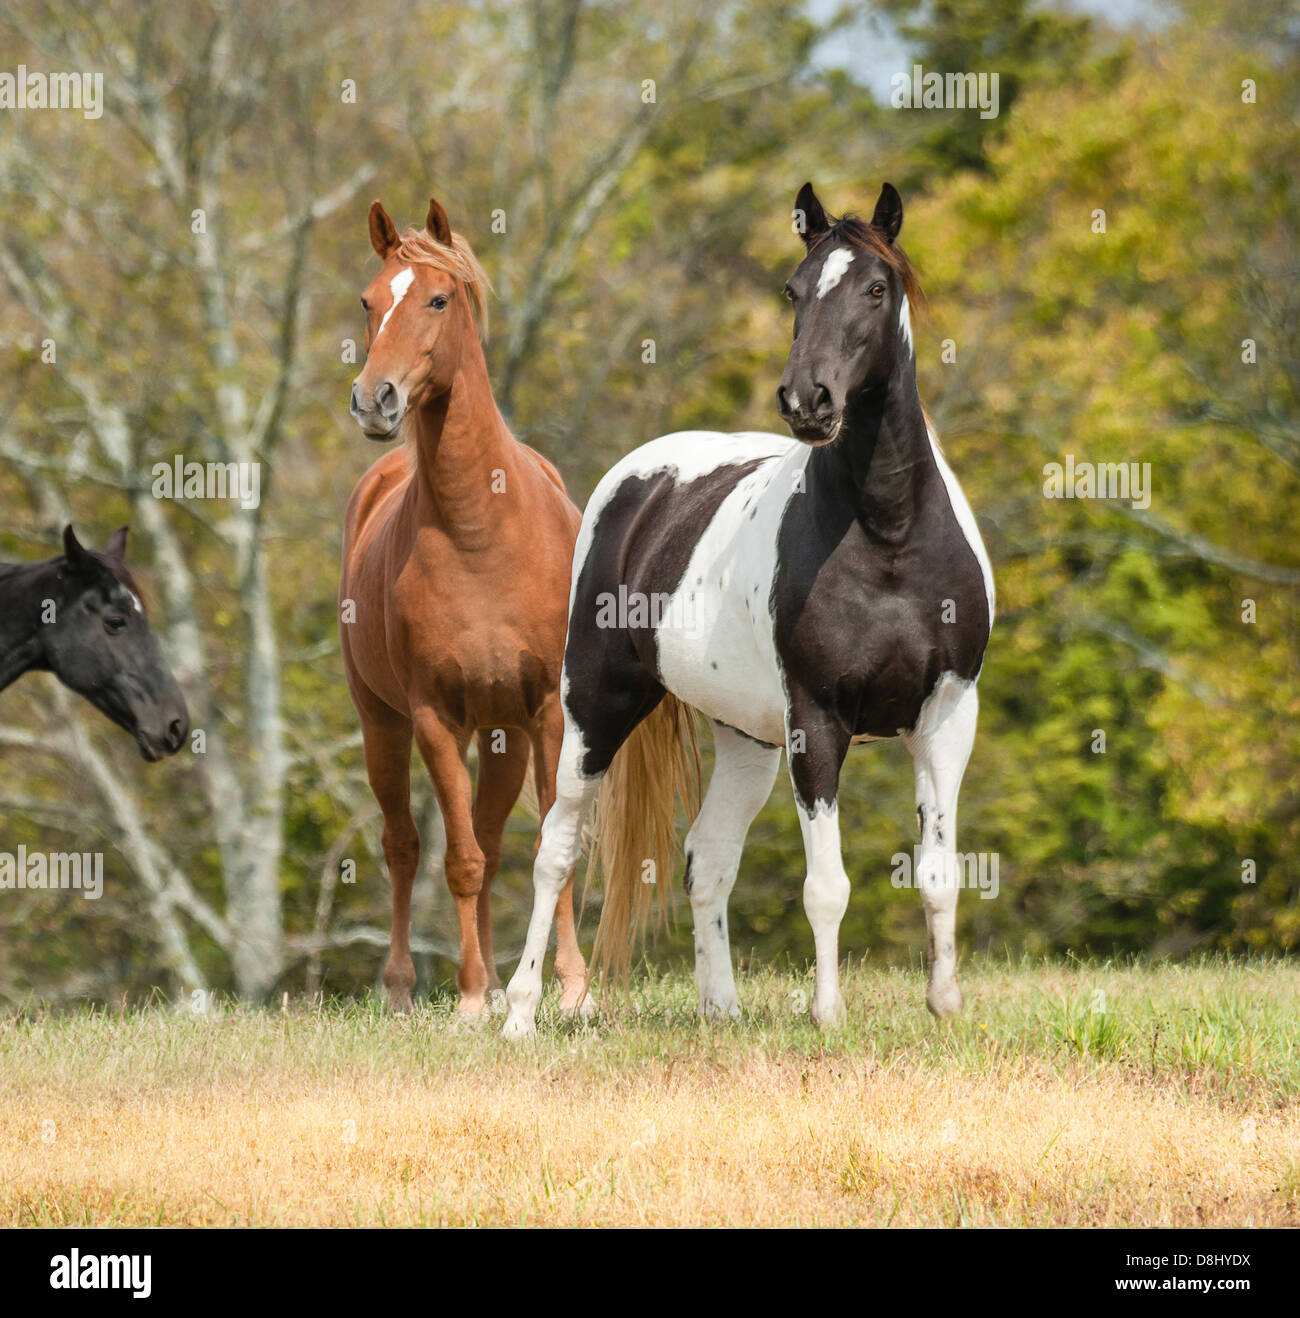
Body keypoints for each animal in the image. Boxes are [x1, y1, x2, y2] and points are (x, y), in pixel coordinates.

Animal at [342, 197, 590, 1017]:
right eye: (369, 301)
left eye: (438, 299)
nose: (374, 400)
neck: (480, 531)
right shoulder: (432, 719)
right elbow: (460, 860)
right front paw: (475, 998)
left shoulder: (546, 713)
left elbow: (552, 847)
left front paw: (570, 989)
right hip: (383, 725)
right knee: (408, 845)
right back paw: (408, 989)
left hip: (504, 733)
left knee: (494, 833)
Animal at [501, 180, 986, 1033]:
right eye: (794, 289)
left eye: (876, 288)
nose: (807, 399)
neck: (890, 536)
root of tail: (637, 482)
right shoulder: (817, 721)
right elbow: (826, 886)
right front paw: (829, 1014)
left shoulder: (947, 715)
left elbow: (937, 872)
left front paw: (945, 1006)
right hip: (594, 704)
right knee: (557, 848)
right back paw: (520, 1013)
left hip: (745, 739)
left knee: (709, 856)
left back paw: (720, 1008)